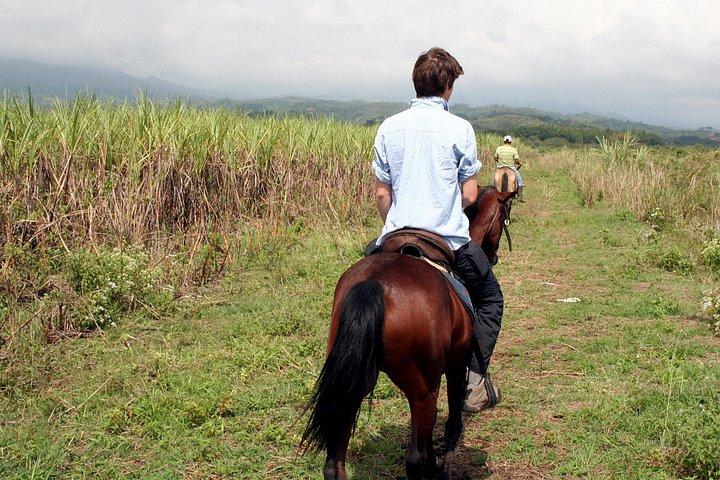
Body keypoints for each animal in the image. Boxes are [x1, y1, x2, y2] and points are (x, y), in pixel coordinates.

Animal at [301, 187, 516, 480]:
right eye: (504, 217)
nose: (493, 257)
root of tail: (375, 284)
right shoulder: (456, 365)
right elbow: (450, 421)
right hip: (422, 388)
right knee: (414, 459)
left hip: (353, 381)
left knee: (334, 462)